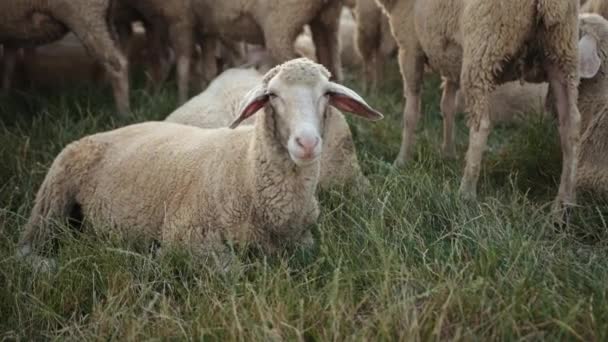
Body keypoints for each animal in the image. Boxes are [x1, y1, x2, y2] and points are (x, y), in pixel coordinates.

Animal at [0, 0, 129, 115]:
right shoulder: (11, 35)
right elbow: (8, 67)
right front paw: (6, 100)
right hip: (105, 18)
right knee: (121, 59)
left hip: (86, 15)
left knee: (116, 64)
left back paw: (122, 115)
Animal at [378, 0, 580, 211]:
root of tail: (549, 4)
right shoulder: (452, 60)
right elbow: (447, 106)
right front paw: (447, 153)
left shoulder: (410, 47)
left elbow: (411, 112)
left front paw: (401, 161)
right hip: (562, 53)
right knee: (571, 127)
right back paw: (565, 201)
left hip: (483, 50)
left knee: (481, 125)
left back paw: (466, 193)